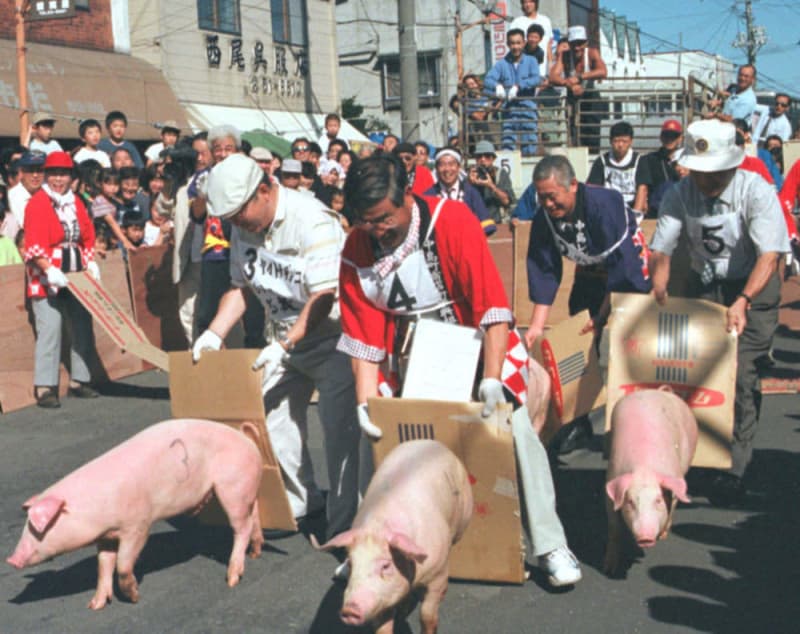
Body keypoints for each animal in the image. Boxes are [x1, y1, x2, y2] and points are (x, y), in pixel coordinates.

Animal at [7, 418, 262, 604]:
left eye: (39, 527)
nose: (11, 560)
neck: (92, 507)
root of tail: (246, 439)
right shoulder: (106, 536)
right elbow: (104, 565)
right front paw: (95, 605)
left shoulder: (138, 524)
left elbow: (123, 563)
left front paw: (135, 597)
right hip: (245, 490)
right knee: (254, 515)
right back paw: (255, 553)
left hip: (232, 487)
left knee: (241, 526)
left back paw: (232, 579)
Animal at [314, 440, 476, 632]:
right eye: (352, 564)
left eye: (386, 565)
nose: (349, 610)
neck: (378, 527)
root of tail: (427, 441)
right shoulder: (382, 599)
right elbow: (383, 627)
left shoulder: (438, 573)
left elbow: (427, 614)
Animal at [604, 386, 696, 572]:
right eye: (630, 501)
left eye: (658, 500)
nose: (645, 537)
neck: (644, 469)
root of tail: (657, 391)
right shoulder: (610, 485)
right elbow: (614, 528)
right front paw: (609, 569)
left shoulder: (674, 480)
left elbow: (672, 507)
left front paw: (662, 535)